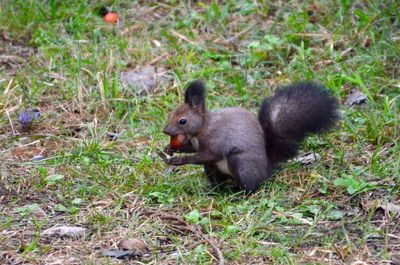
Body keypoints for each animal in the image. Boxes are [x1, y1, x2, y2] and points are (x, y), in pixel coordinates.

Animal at [162, 79, 338, 193]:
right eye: (170, 114)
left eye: (182, 121)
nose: (165, 131)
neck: (201, 130)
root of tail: (265, 171)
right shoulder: (195, 143)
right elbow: (191, 148)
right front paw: (169, 148)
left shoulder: (216, 140)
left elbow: (210, 154)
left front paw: (180, 160)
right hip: (212, 169)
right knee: (218, 181)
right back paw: (214, 190)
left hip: (240, 163)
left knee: (250, 187)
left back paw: (238, 192)